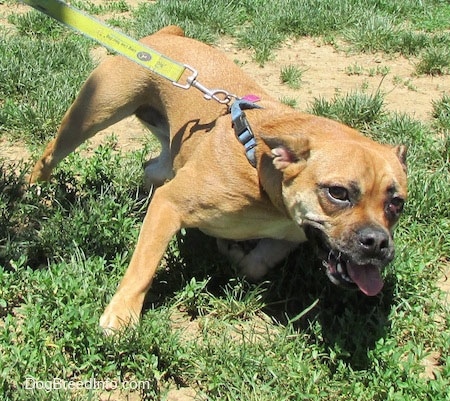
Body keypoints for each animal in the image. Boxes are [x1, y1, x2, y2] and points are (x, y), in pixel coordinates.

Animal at [29, 25, 408, 332]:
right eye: (338, 193)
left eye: (397, 203)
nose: (377, 242)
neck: (262, 174)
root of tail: (165, 35)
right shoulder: (171, 204)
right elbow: (143, 268)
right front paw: (122, 315)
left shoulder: (288, 234)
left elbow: (256, 265)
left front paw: (234, 254)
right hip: (92, 114)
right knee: (49, 156)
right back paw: (30, 192)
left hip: (168, 154)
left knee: (152, 170)